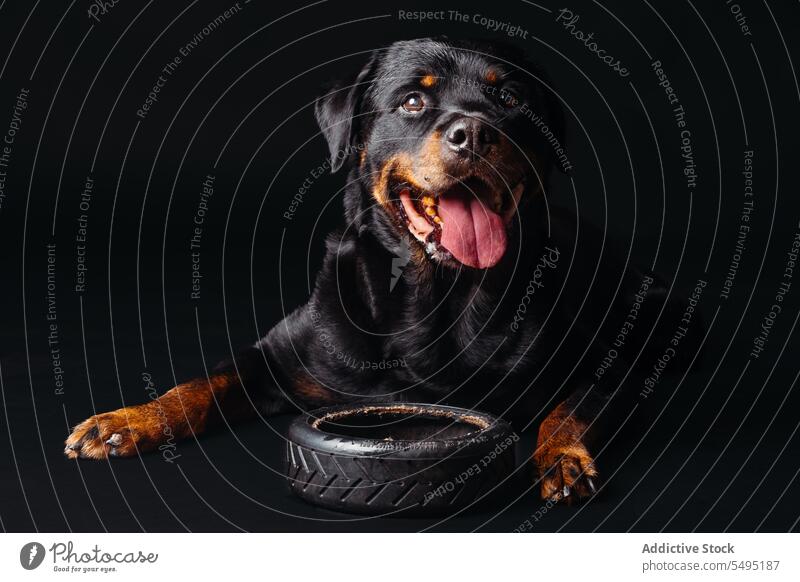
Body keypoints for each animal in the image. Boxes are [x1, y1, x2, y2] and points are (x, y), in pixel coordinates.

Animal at [64, 38, 700, 508]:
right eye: (413, 102)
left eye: (510, 98)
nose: (475, 132)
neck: (436, 296)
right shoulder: (278, 356)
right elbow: (201, 384)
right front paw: (127, 420)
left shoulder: (604, 366)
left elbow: (571, 411)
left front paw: (563, 460)